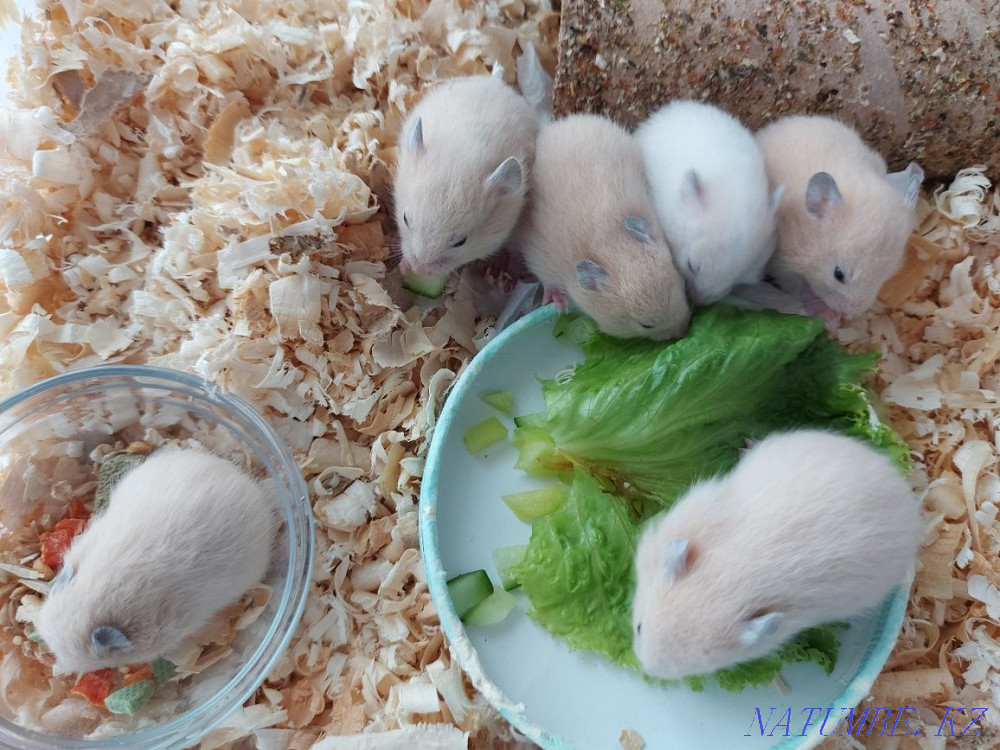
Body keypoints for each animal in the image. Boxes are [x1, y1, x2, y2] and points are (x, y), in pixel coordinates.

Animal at [514, 113, 690, 341]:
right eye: (646, 325)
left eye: (683, 288)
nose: (683, 331)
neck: (606, 240)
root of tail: (557, 125)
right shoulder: (539, 258)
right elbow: (549, 283)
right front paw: (562, 306)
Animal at [631, 429, 923, 681]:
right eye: (639, 628)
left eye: (699, 666)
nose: (647, 670)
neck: (732, 577)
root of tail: (902, 488)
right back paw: (746, 446)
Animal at [755, 115, 924, 320]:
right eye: (838, 274)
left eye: (886, 274)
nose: (851, 315)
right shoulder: (781, 262)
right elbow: (798, 286)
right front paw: (828, 317)